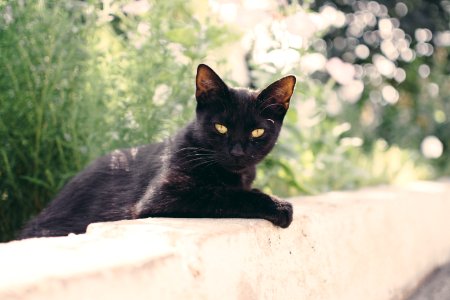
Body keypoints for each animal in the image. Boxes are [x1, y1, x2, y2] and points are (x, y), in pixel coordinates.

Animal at [19, 64, 298, 238]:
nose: (237, 152)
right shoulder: (163, 196)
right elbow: (226, 195)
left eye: (257, 132)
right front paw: (278, 205)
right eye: (221, 127)